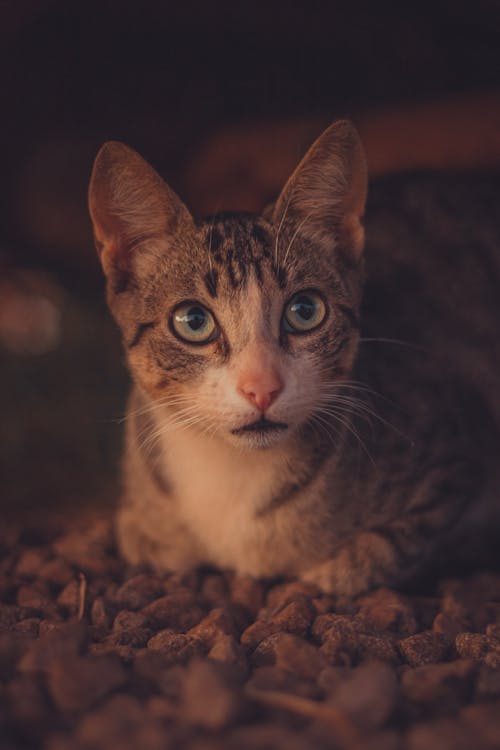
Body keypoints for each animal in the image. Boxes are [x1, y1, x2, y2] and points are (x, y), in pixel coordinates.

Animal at [88, 120, 500, 596]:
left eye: (305, 311)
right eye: (193, 321)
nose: (261, 388)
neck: (233, 471)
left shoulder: (453, 459)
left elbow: (382, 551)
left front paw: (329, 570)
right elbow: (139, 535)